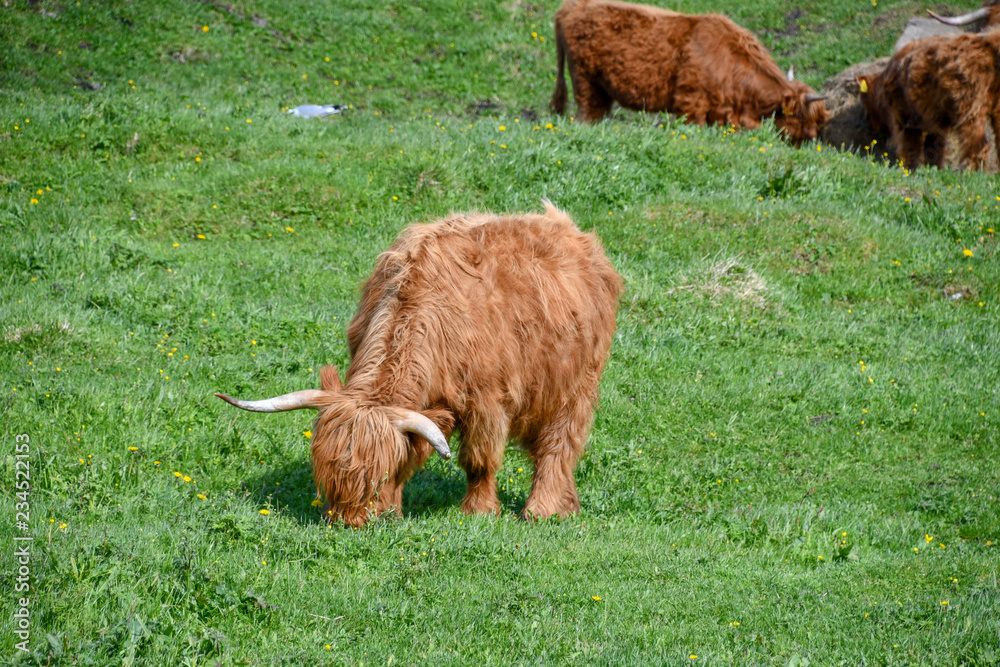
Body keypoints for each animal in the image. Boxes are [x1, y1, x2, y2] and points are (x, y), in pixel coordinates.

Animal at [216, 204, 623, 527]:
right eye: (325, 471)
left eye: (382, 474)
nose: (351, 522)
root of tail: (566, 226)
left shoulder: (489, 400)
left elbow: (480, 460)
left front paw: (478, 511)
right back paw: (569, 506)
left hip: (576, 385)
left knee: (559, 445)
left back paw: (543, 510)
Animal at [549, 0, 829, 144]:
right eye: (803, 117)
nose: (811, 140)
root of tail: (569, 6)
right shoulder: (691, 102)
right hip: (586, 81)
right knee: (587, 113)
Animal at [857, 21, 1000, 171]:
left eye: (865, 101)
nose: (873, 126)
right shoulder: (934, 122)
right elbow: (934, 150)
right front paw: (933, 170)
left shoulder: (906, 119)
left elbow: (911, 148)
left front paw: (910, 170)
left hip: (969, 109)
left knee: (979, 145)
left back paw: (971, 172)